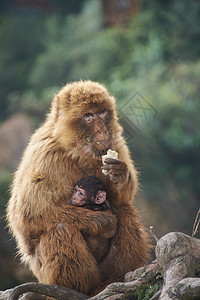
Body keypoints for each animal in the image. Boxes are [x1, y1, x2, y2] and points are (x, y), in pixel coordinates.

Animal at [7, 81, 149, 296]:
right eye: (88, 116)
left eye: (102, 113)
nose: (102, 131)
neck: (75, 149)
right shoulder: (45, 154)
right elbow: (29, 213)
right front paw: (103, 221)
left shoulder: (115, 143)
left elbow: (122, 199)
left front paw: (119, 174)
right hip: (44, 273)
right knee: (61, 227)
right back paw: (75, 288)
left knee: (124, 211)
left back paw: (116, 278)